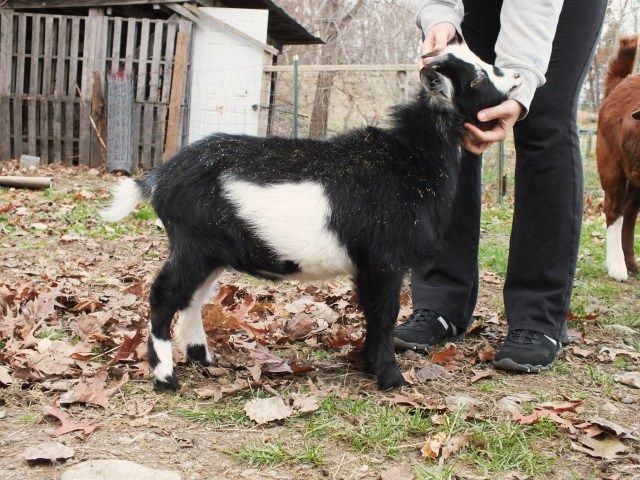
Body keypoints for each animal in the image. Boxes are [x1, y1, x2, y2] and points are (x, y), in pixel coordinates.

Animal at [102, 40, 522, 390]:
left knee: (192, 298)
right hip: (194, 244)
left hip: (211, 252)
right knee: (164, 293)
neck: (410, 158)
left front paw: (371, 368)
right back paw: (165, 376)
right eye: (479, 77)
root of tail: (160, 177)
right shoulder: (383, 259)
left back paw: (203, 358)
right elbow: (382, 315)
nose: (517, 75)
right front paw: (391, 378)